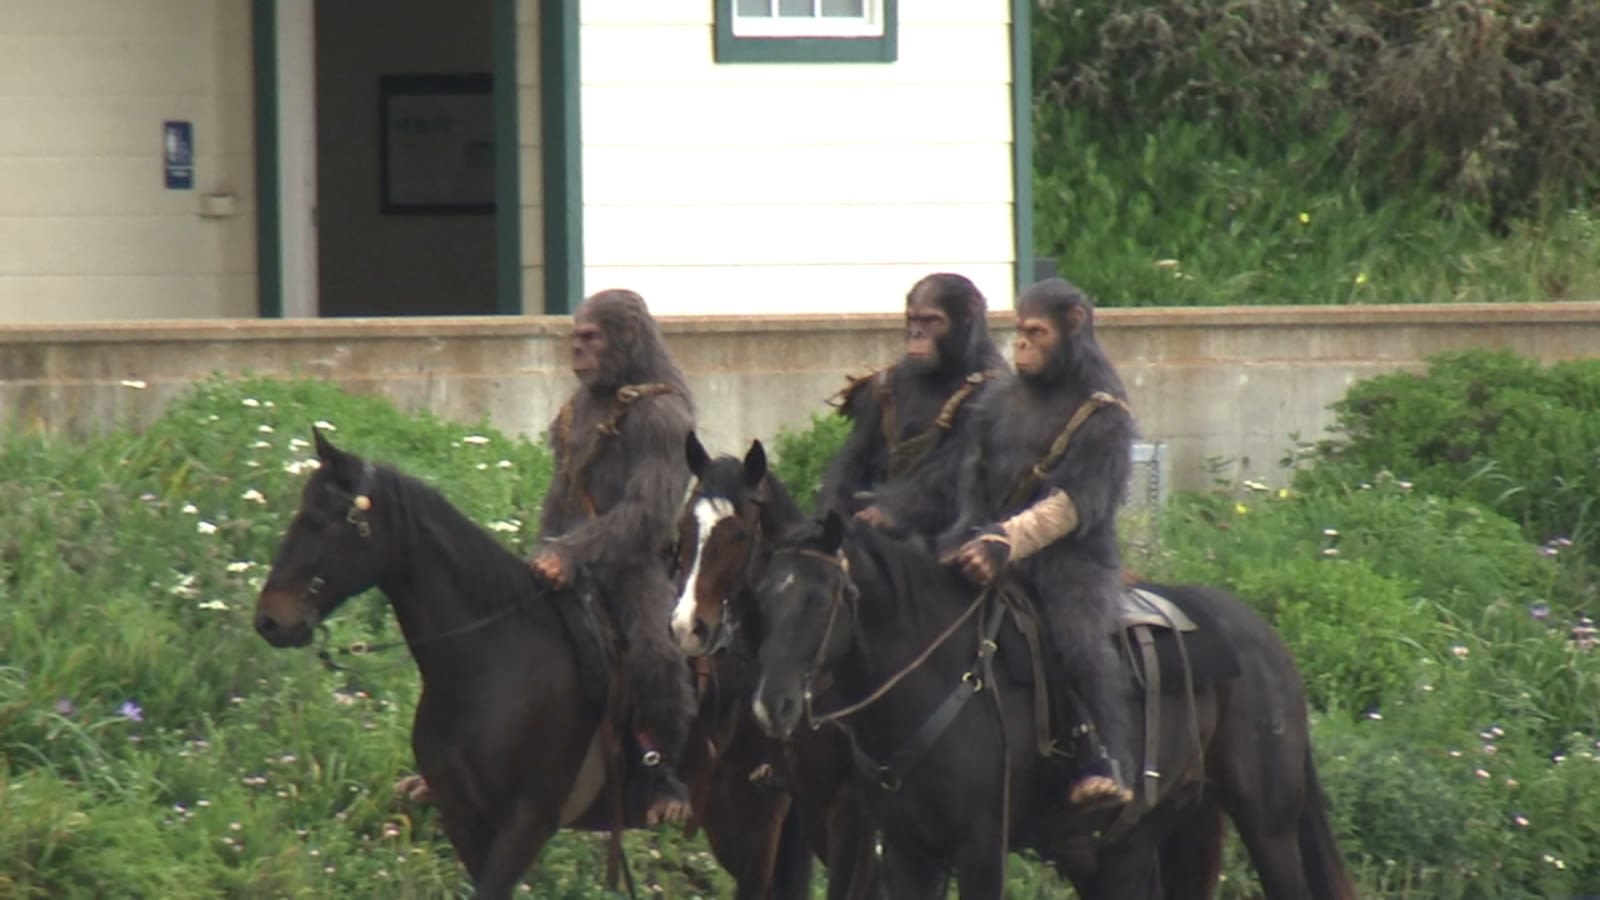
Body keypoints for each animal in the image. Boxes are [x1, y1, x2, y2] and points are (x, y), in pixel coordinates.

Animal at [257, 429, 819, 896]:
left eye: (326, 521)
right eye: (302, 512)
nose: (270, 620)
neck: (490, 662)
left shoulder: (527, 822)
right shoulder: (466, 821)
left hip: (753, 820)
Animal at [700, 480, 1350, 890]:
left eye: (823, 598)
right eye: (764, 596)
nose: (773, 704)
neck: (930, 679)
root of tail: (1268, 643)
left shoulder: (981, 847)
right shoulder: (908, 853)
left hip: (1268, 826)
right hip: (1142, 842)